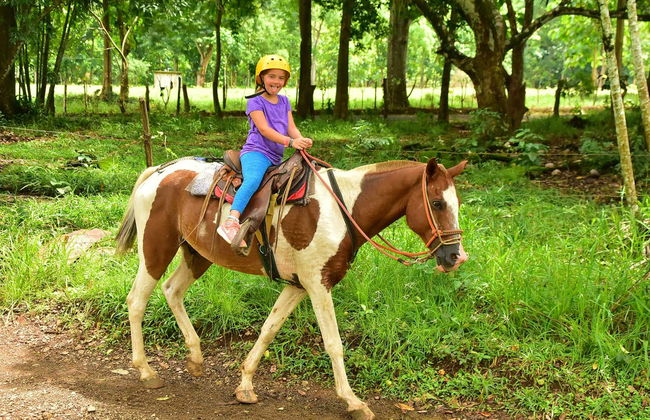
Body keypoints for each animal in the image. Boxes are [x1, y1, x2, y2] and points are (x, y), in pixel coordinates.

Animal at [115, 154, 468, 420]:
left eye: (457, 204)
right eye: (437, 203)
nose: (456, 256)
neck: (343, 210)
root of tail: (157, 172)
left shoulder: (298, 286)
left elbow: (268, 329)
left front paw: (245, 385)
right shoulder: (318, 284)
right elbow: (333, 343)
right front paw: (353, 401)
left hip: (197, 254)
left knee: (172, 290)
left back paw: (195, 358)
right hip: (156, 249)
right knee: (136, 301)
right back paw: (146, 371)